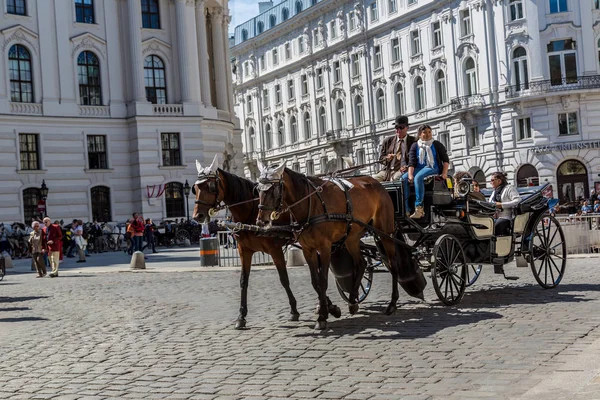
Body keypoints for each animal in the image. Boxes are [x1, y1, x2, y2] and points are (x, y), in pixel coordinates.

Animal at [256, 164, 404, 330]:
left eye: (273, 189)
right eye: (258, 189)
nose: (261, 221)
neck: (310, 204)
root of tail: (377, 183)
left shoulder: (325, 247)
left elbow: (323, 280)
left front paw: (322, 316)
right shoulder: (308, 249)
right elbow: (315, 282)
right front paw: (328, 310)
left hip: (385, 233)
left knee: (393, 264)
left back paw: (392, 304)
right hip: (352, 238)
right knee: (361, 263)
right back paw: (353, 301)